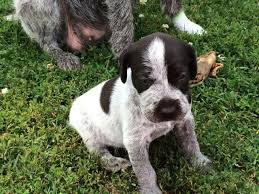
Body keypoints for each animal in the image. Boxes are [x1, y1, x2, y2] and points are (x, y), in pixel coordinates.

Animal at [69, 32, 213, 193]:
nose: (168, 110)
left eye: (182, 76)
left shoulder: (185, 119)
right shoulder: (135, 141)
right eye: (145, 79)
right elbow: (145, 171)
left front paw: (199, 162)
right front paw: (150, 190)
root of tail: (75, 103)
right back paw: (113, 162)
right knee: (98, 151)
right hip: (88, 131)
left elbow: (191, 143)